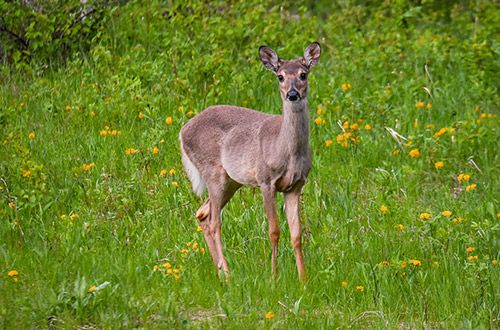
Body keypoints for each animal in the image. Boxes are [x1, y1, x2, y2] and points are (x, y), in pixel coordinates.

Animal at [179, 42, 320, 282]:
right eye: (280, 76)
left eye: (303, 74)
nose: (292, 94)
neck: (287, 152)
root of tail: (182, 131)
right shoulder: (265, 180)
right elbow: (274, 231)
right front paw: (274, 277)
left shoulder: (296, 185)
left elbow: (297, 235)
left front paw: (304, 280)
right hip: (213, 172)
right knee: (215, 222)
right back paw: (227, 276)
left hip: (231, 181)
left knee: (203, 213)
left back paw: (219, 272)